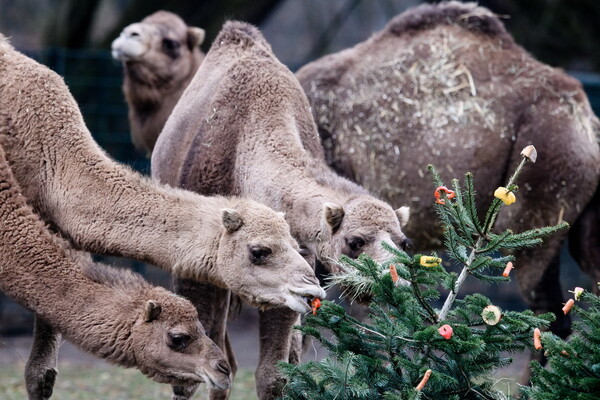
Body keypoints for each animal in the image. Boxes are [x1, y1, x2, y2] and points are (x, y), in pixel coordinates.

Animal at [152, 21, 410, 400]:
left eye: (404, 243)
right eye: (355, 241)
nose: (396, 281)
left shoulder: (293, 266)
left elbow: (272, 373)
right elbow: (192, 371)